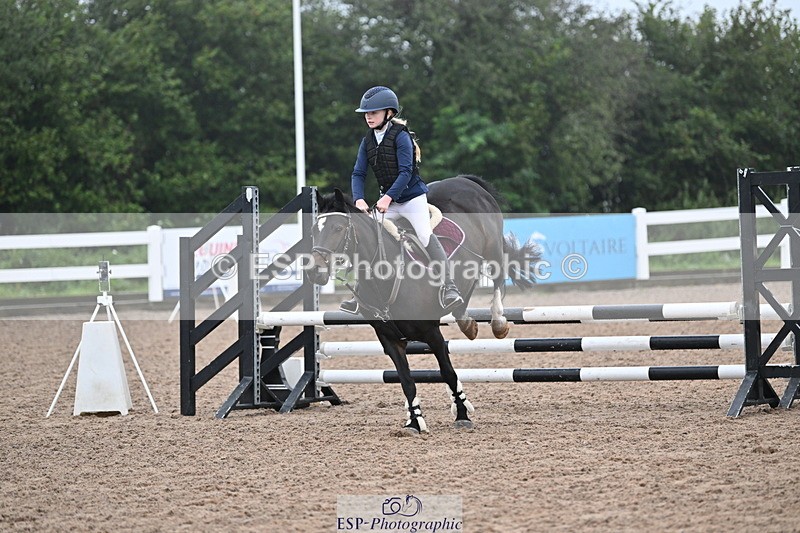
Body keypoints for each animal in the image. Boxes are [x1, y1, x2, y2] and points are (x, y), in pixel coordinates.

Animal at [309, 175, 540, 433]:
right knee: (466, 291)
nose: (314, 271)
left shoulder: (432, 333)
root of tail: (463, 180)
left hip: (493, 250)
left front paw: (462, 414)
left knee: (498, 278)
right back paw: (465, 321)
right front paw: (414, 421)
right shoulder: (389, 340)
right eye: (314, 231)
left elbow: (447, 372)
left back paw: (498, 322)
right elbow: (407, 381)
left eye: (338, 228)